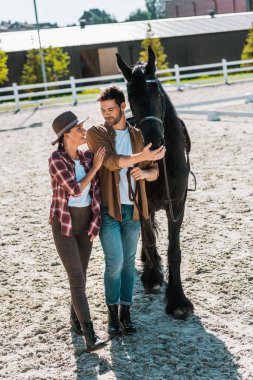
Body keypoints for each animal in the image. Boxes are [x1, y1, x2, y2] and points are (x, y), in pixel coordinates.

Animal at [116, 46, 194, 320]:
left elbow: (174, 250)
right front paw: (152, 277)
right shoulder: (142, 201)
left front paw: (178, 299)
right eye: (130, 96)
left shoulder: (177, 204)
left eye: (157, 90)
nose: (153, 143)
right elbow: (148, 237)